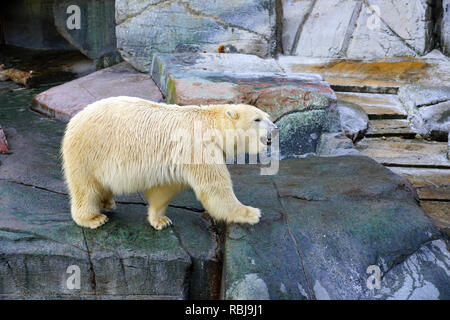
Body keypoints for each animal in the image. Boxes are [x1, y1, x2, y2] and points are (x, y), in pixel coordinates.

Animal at [61, 97, 276, 230]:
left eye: (267, 116)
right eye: (257, 119)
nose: (275, 127)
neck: (213, 126)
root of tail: (75, 119)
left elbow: (164, 190)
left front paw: (161, 220)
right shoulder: (199, 148)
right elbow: (215, 188)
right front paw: (252, 213)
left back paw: (107, 202)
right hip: (89, 152)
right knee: (85, 187)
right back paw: (92, 218)